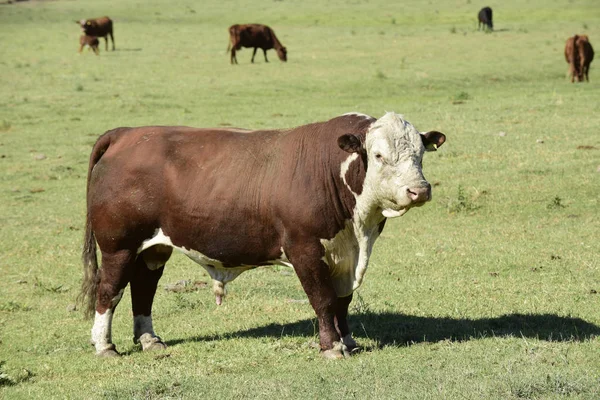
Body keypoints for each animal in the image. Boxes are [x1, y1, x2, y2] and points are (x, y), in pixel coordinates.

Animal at [79, 111, 446, 360]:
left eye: (420, 154)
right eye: (380, 155)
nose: (419, 190)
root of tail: (127, 133)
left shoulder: (346, 254)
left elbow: (342, 301)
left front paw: (348, 341)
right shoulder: (304, 249)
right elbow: (324, 299)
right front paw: (331, 346)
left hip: (152, 248)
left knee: (143, 288)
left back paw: (149, 339)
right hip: (119, 246)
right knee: (109, 290)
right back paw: (104, 345)